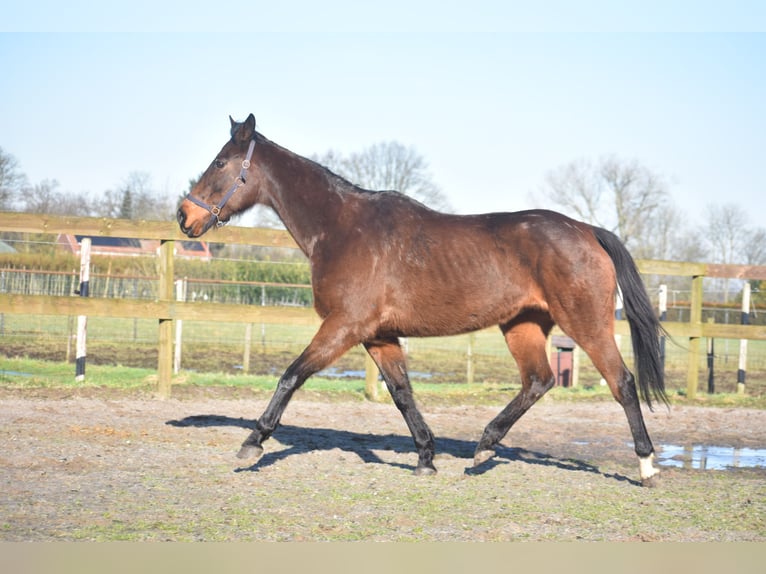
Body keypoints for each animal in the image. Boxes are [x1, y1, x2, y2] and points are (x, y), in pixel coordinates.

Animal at [177, 115, 668, 488]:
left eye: (220, 162)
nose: (185, 216)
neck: (341, 227)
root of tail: (588, 231)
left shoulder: (344, 325)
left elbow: (291, 376)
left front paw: (252, 443)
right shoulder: (377, 335)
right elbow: (402, 395)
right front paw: (426, 457)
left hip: (585, 323)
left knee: (621, 381)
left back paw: (646, 466)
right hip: (522, 325)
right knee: (538, 381)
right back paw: (483, 448)